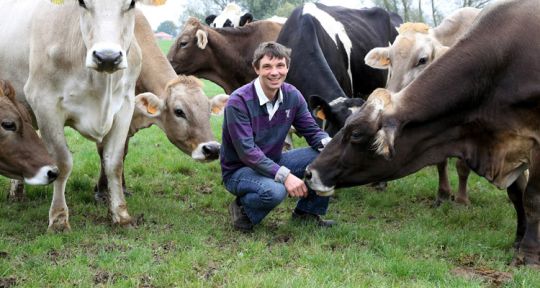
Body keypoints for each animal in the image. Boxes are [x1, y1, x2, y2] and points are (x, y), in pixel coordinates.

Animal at [0, 0, 165, 231]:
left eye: (131, 3)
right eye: (82, 2)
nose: (107, 57)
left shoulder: (125, 105)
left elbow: (114, 163)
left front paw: (120, 215)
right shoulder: (45, 103)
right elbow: (62, 162)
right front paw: (59, 219)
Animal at [362, 6, 480, 205]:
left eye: (422, 60)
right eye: (390, 60)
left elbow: (462, 165)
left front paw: (461, 200)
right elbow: (440, 161)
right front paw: (443, 194)